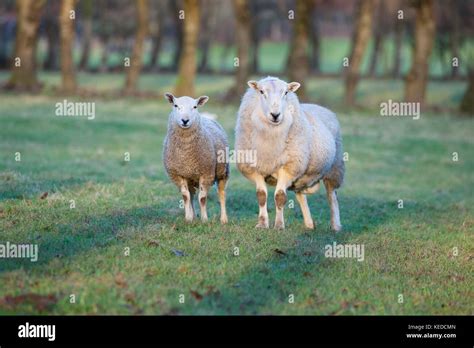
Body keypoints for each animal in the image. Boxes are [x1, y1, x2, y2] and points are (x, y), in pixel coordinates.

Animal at [163, 92, 230, 224]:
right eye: (176, 105)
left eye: (195, 107)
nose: (185, 120)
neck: (186, 155)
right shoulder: (178, 175)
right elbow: (185, 197)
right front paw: (188, 218)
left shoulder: (206, 173)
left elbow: (203, 198)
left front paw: (204, 219)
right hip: (190, 178)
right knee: (192, 195)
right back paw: (193, 216)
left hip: (222, 172)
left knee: (221, 194)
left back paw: (224, 219)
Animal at [236, 77, 344, 232]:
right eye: (261, 91)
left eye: (286, 92)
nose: (275, 115)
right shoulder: (255, 168)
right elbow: (261, 196)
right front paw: (262, 224)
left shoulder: (288, 167)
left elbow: (280, 196)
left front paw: (279, 225)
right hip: (301, 175)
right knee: (301, 195)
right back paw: (309, 224)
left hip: (334, 167)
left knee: (332, 195)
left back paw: (335, 226)